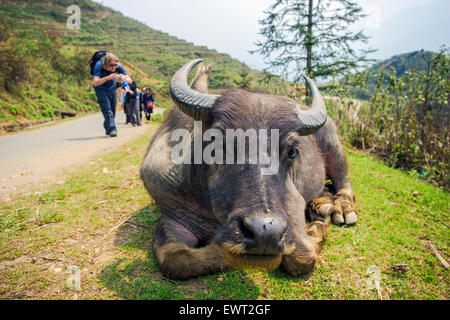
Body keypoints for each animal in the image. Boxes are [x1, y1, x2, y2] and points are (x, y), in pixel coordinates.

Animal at [139, 58, 356, 278]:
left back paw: (341, 209)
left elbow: (301, 257)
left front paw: (316, 229)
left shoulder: (293, 204)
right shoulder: (174, 216)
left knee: (343, 182)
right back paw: (321, 206)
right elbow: (176, 259)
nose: (266, 233)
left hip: (334, 144)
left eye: (292, 151)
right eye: (217, 143)